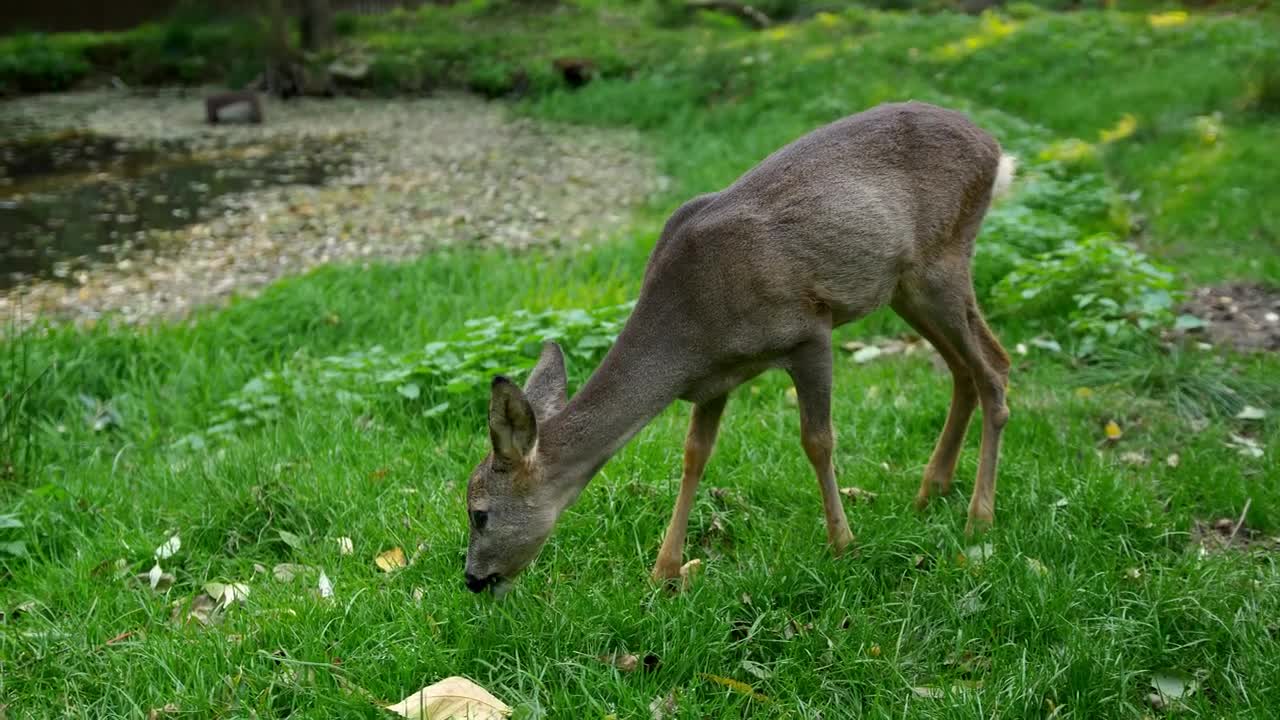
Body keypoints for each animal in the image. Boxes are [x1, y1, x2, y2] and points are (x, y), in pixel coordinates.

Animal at [460, 101, 1008, 594]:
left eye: (479, 514)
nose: (472, 580)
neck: (692, 329)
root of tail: (993, 146)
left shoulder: (809, 329)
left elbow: (817, 440)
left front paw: (844, 545)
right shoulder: (713, 380)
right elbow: (693, 455)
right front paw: (665, 571)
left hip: (941, 262)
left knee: (994, 367)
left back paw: (978, 518)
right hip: (904, 287)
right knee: (964, 368)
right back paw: (930, 491)